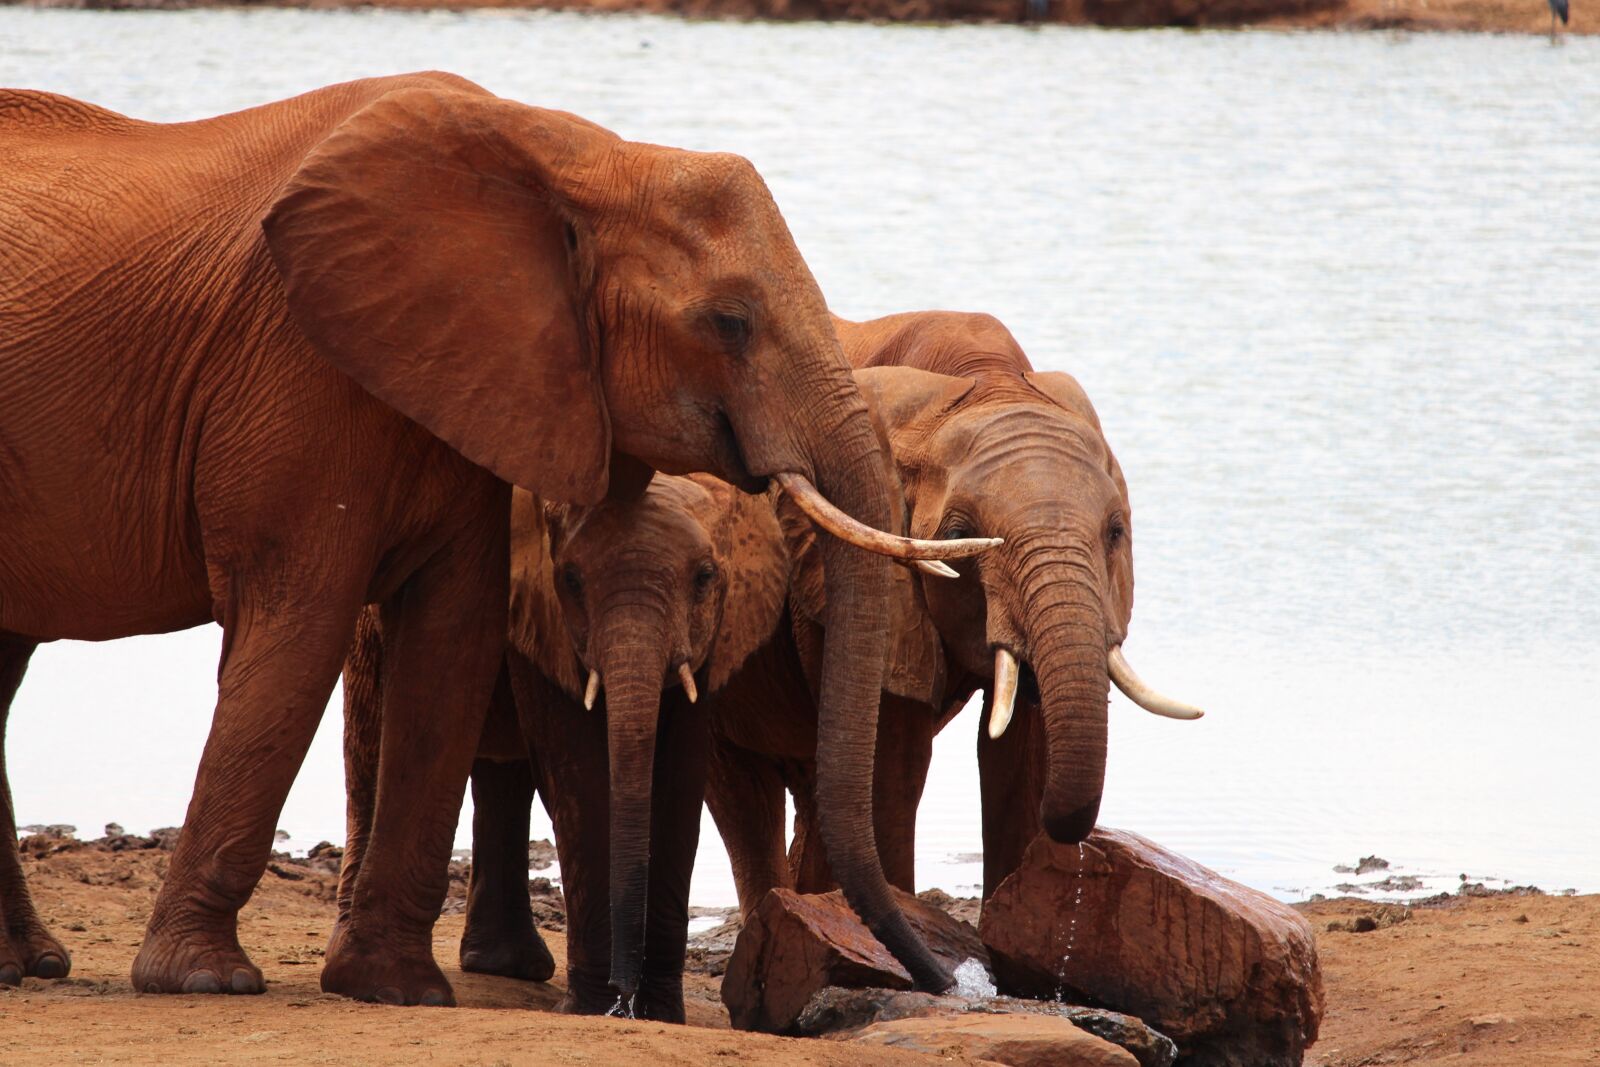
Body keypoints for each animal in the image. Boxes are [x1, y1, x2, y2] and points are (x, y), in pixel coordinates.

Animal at [342, 476, 788, 1020]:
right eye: (571, 580)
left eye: (705, 577)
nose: (624, 998)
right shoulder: (542, 614)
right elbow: (578, 775)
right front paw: (594, 1008)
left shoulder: (713, 636)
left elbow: (680, 782)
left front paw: (659, 1013)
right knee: (368, 749)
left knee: (504, 778)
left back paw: (509, 966)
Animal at [704, 310, 1203, 924]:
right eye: (960, 535)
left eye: (1114, 532)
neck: (983, 381)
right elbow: (893, 767)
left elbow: (1017, 759)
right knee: (744, 798)